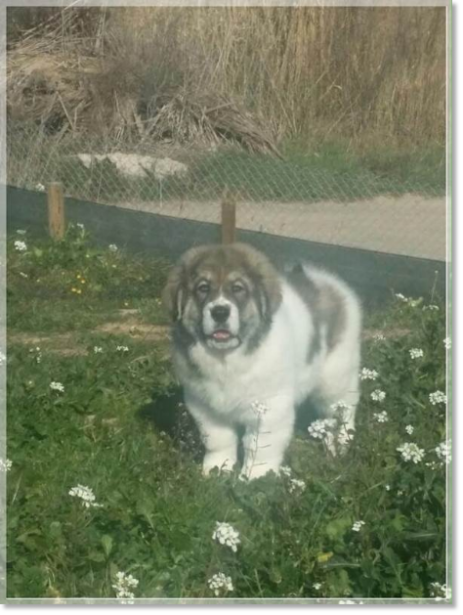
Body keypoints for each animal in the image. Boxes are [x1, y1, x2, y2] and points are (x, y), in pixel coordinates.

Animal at [163, 242, 362, 482]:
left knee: (343, 408)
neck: (227, 358)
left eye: (238, 288)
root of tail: (326, 281)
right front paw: (217, 468)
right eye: (203, 288)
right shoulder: (205, 406)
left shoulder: (269, 407)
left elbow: (261, 446)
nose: (220, 312)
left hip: (335, 376)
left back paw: (341, 443)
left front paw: (256, 478)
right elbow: (218, 439)